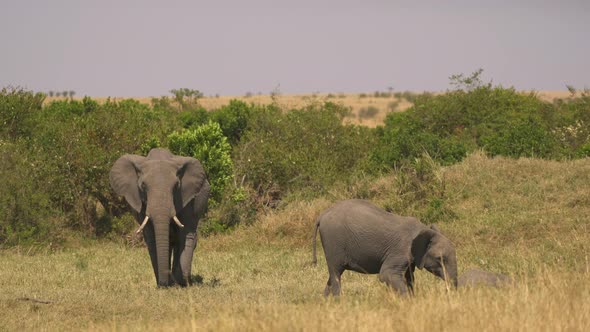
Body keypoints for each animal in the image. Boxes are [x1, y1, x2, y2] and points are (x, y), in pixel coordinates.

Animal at [110, 149, 210, 286]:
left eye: (176, 186)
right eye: (143, 186)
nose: (164, 283)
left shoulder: (188, 198)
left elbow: (185, 234)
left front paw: (180, 283)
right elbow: (152, 237)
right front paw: (164, 284)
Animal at [312, 200, 460, 296]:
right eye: (440, 259)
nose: (449, 291)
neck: (423, 229)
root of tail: (321, 215)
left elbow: (409, 277)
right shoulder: (400, 250)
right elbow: (386, 274)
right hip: (333, 241)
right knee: (336, 273)